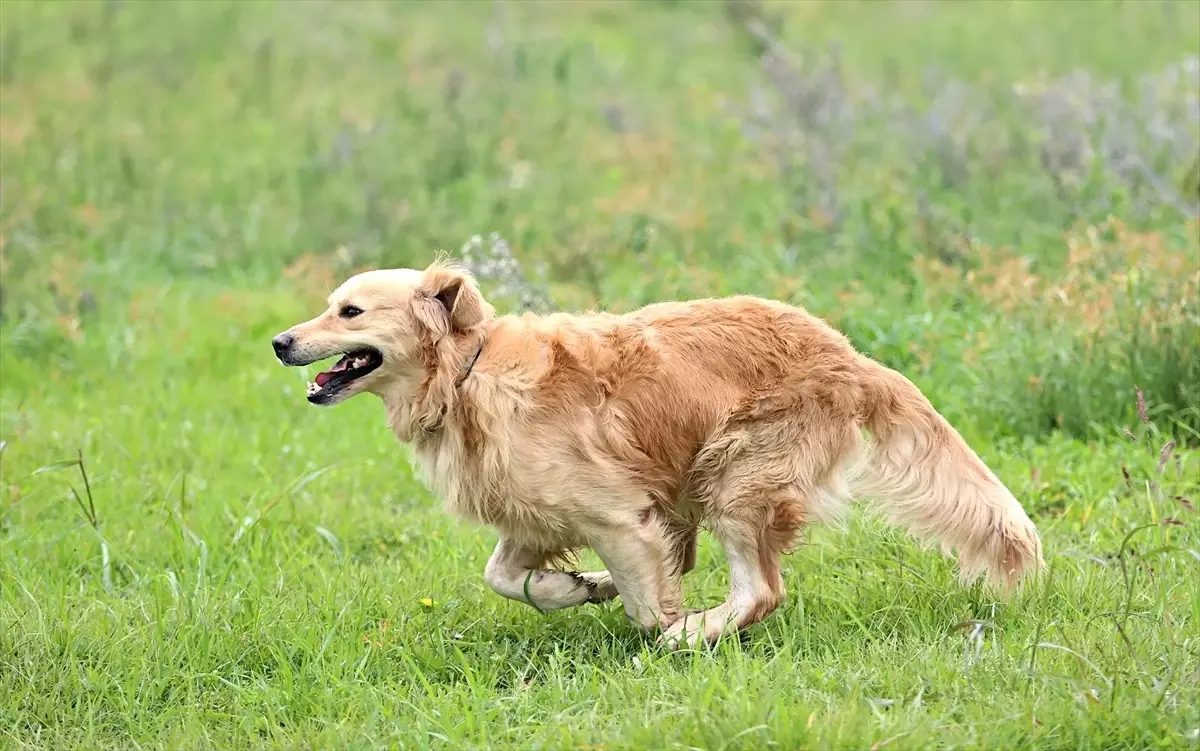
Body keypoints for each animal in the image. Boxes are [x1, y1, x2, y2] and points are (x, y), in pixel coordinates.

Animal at [272, 259, 1041, 643]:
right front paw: (576, 587)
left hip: (735, 475)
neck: (468, 372)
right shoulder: (536, 517)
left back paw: (695, 633)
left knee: (761, 590)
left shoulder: (620, 515)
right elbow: (503, 576)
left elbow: (647, 602)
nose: (280, 341)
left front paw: (660, 618)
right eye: (329, 304)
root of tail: (849, 356)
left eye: (349, 312)